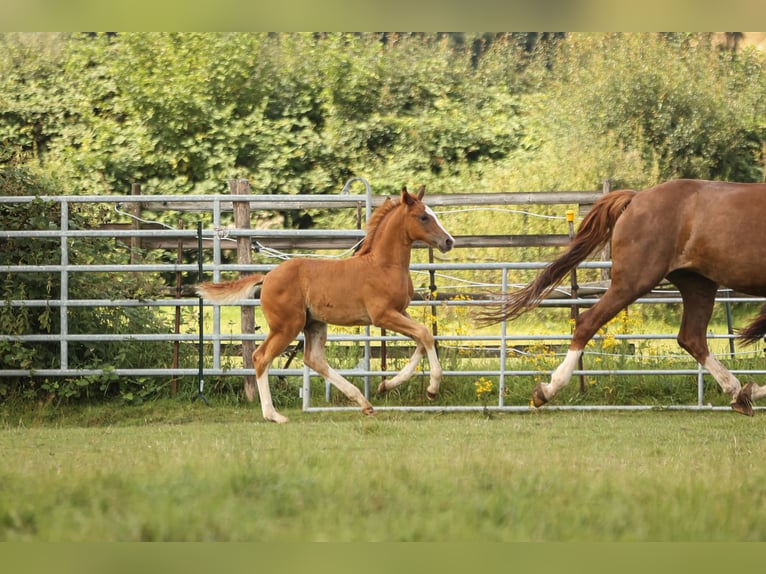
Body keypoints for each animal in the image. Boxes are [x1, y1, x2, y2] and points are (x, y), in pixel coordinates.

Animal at [195, 187, 456, 426]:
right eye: (423, 217)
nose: (448, 241)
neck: (383, 265)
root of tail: (266, 277)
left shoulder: (400, 312)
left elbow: (422, 339)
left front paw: (385, 385)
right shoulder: (383, 315)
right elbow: (425, 334)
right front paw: (432, 389)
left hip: (314, 323)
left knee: (314, 360)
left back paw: (363, 402)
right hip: (287, 326)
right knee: (261, 357)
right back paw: (274, 415)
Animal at [484, 179, 764, 414]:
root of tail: (636, 198)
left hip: (698, 284)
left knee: (692, 338)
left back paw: (742, 393)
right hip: (634, 281)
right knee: (587, 322)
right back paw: (548, 390)